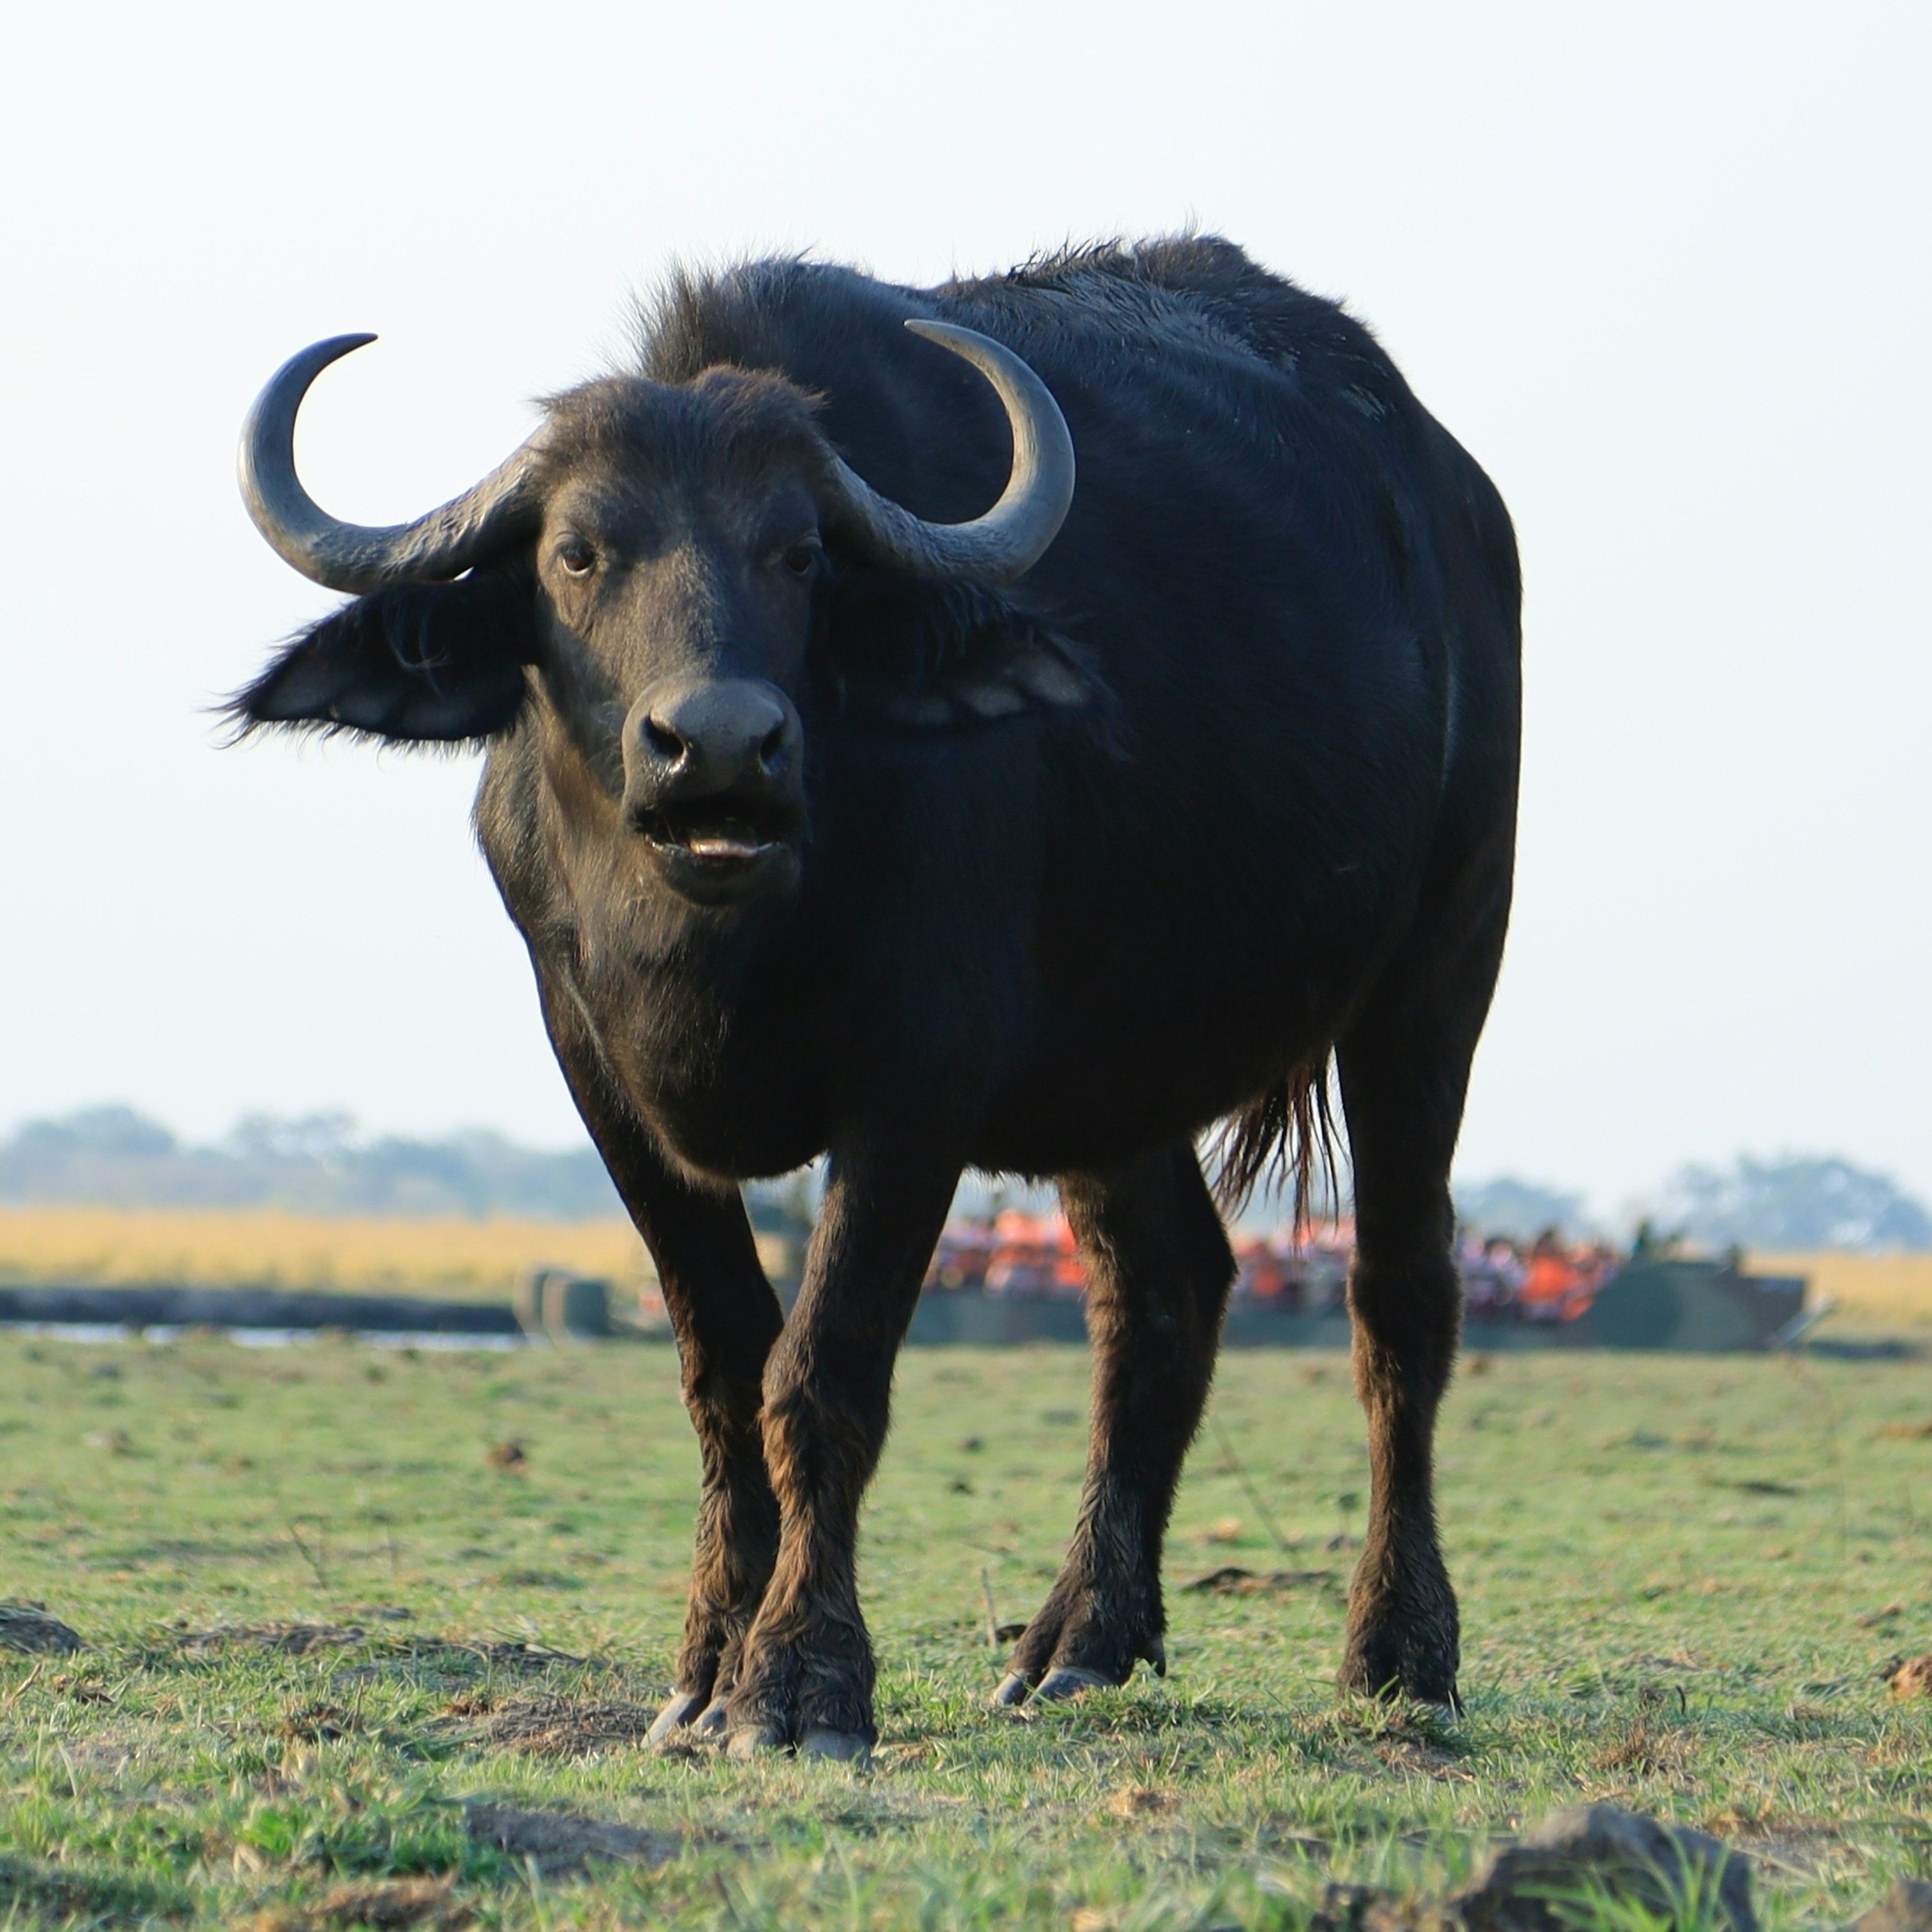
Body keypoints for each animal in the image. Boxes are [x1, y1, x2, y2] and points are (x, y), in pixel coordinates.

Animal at [229, 233, 1522, 1762]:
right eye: (577, 551)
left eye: (797, 552)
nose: (718, 746)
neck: (721, 930)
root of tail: (1448, 499)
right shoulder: (597, 1069)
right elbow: (724, 1366)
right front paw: (703, 1667)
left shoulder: (917, 1078)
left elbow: (822, 1370)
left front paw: (799, 1680)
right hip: (1115, 1066)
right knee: (1164, 1287)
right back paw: (1079, 1640)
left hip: (1438, 970)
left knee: (1399, 1297)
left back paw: (1400, 1651)